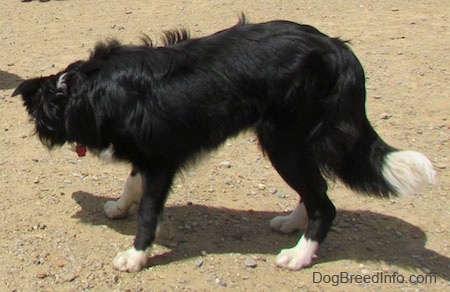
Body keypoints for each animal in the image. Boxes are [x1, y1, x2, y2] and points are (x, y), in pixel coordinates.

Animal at [14, 17, 436, 272]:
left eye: (38, 117)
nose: (37, 131)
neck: (85, 93)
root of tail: (339, 49)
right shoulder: (146, 154)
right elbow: (131, 181)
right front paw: (119, 205)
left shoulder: (162, 161)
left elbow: (149, 213)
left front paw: (135, 256)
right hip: (292, 145)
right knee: (315, 190)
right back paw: (292, 224)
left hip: (283, 142)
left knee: (325, 203)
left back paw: (299, 256)